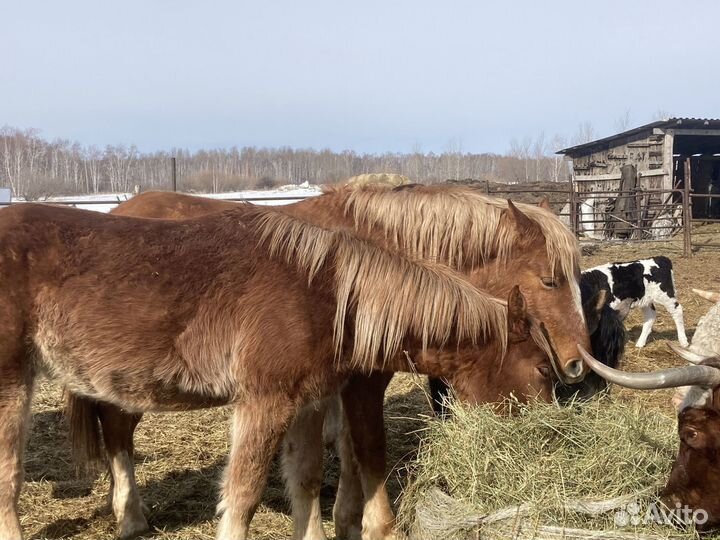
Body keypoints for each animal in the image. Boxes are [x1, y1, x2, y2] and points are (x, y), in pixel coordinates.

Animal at [0, 201, 559, 540]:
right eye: (540, 369)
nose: (547, 438)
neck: (328, 292)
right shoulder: (264, 403)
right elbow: (243, 495)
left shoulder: (306, 402)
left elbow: (305, 477)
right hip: (11, 383)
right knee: (11, 472)